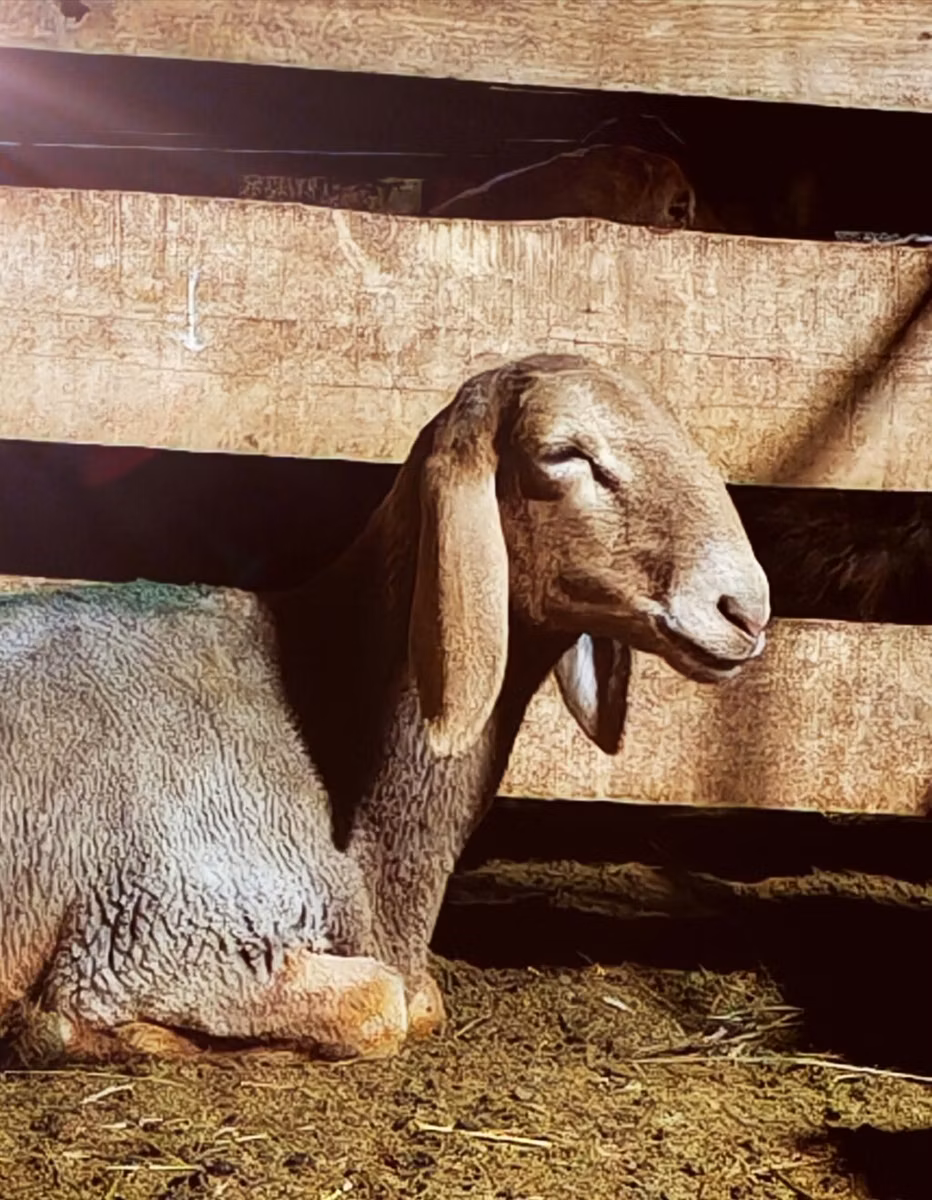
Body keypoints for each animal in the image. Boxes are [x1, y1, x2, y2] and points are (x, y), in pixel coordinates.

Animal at [0, 353, 769, 1065]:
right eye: (563, 452)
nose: (747, 608)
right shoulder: (159, 931)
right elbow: (382, 1005)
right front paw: (79, 1033)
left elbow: (419, 1003)